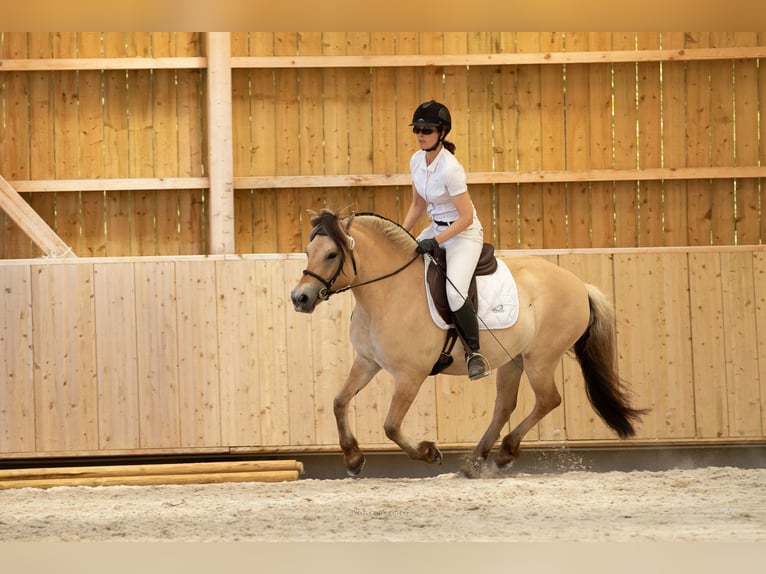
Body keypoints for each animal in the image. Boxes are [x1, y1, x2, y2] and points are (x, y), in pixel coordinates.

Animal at [290, 209, 647, 477]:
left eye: (332, 254)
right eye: (308, 253)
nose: (300, 298)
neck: (388, 292)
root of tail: (579, 285)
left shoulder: (411, 374)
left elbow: (391, 425)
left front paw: (429, 452)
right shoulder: (368, 361)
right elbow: (339, 401)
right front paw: (353, 459)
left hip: (540, 358)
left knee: (548, 400)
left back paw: (504, 453)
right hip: (514, 359)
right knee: (505, 406)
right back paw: (476, 462)